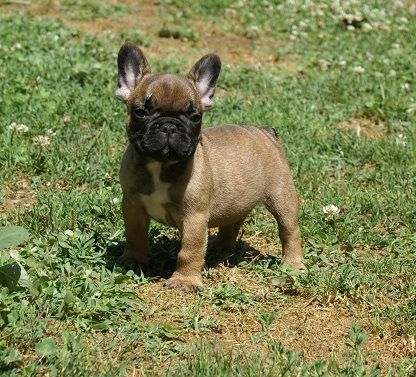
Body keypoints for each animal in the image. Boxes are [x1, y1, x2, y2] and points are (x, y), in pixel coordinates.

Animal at [115, 42, 304, 292]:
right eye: (141, 112)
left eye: (195, 116)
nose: (169, 126)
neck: (161, 165)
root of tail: (265, 132)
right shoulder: (133, 206)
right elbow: (135, 235)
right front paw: (133, 261)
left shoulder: (194, 218)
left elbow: (190, 250)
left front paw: (184, 281)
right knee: (233, 222)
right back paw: (219, 248)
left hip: (281, 196)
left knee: (289, 230)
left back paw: (293, 264)